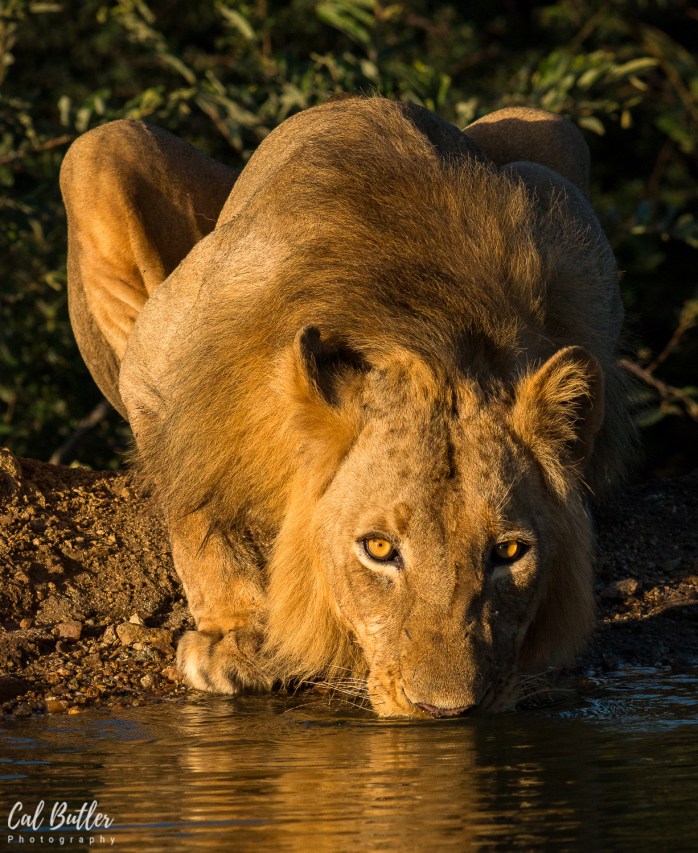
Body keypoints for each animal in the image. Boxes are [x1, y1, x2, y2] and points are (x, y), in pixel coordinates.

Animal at [60, 96, 635, 717]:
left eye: (509, 551)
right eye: (379, 548)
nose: (448, 711)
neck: (428, 333)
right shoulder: (158, 372)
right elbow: (193, 506)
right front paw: (235, 637)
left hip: (550, 138)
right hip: (99, 149)